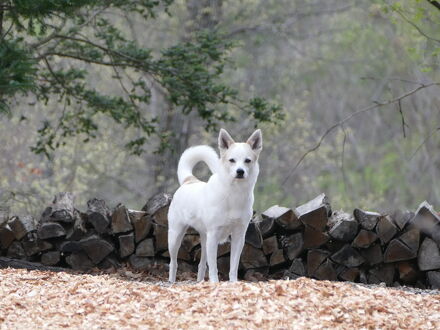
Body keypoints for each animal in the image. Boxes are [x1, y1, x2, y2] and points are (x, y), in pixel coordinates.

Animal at [166, 129, 262, 284]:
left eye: (247, 160)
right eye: (232, 160)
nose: (240, 171)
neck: (234, 194)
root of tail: (189, 180)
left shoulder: (238, 236)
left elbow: (233, 266)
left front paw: (233, 283)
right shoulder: (214, 235)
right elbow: (214, 267)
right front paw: (215, 283)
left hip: (205, 239)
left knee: (201, 264)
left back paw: (200, 282)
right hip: (176, 237)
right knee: (173, 262)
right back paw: (172, 281)